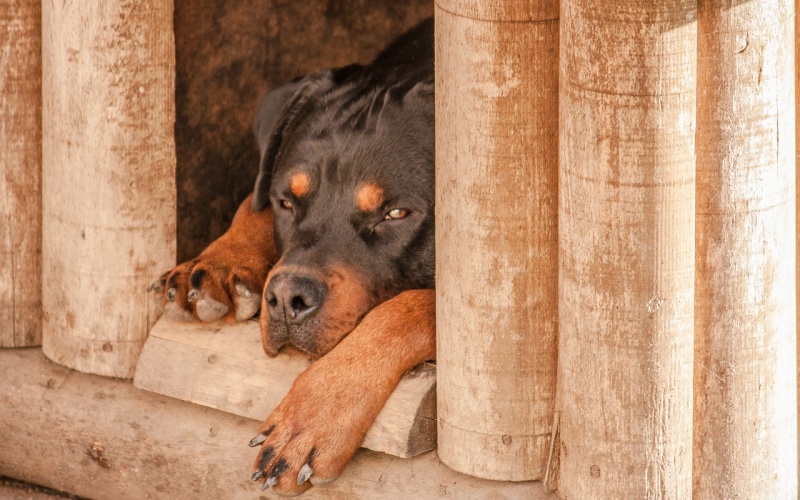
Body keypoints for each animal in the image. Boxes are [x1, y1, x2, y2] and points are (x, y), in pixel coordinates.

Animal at [155, 17, 438, 494]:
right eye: (286, 201)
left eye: (396, 213)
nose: (287, 299)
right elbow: (251, 203)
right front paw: (215, 262)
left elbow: (411, 306)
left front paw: (313, 416)